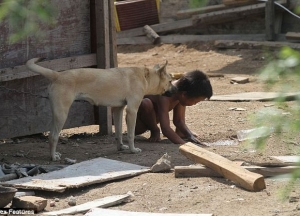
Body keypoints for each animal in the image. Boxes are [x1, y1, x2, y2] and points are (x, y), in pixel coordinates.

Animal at [27, 57, 176, 160]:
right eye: (169, 81)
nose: (176, 89)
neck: (145, 76)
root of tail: (58, 75)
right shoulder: (132, 110)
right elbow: (130, 134)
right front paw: (133, 150)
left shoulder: (118, 109)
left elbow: (119, 132)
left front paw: (121, 147)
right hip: (62, 114)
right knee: (53, 136)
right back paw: (53, 157)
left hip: (57, 114)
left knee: (51, 135)